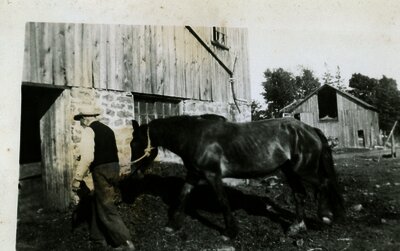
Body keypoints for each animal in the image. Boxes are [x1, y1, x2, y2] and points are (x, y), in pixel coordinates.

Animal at [130, 114, 344, 238]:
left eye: (135, 144)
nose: (133, 173)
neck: (195, 137)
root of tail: (309, 129)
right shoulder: (193, 174)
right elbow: (182, 196)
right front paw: (172, 226)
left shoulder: (212, 175)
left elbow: (223, 201)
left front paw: (230, 232)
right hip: (290, 171)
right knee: (300, 194)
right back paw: (297, 227)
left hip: (304, 170)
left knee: (323, 184)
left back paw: (325, 218)